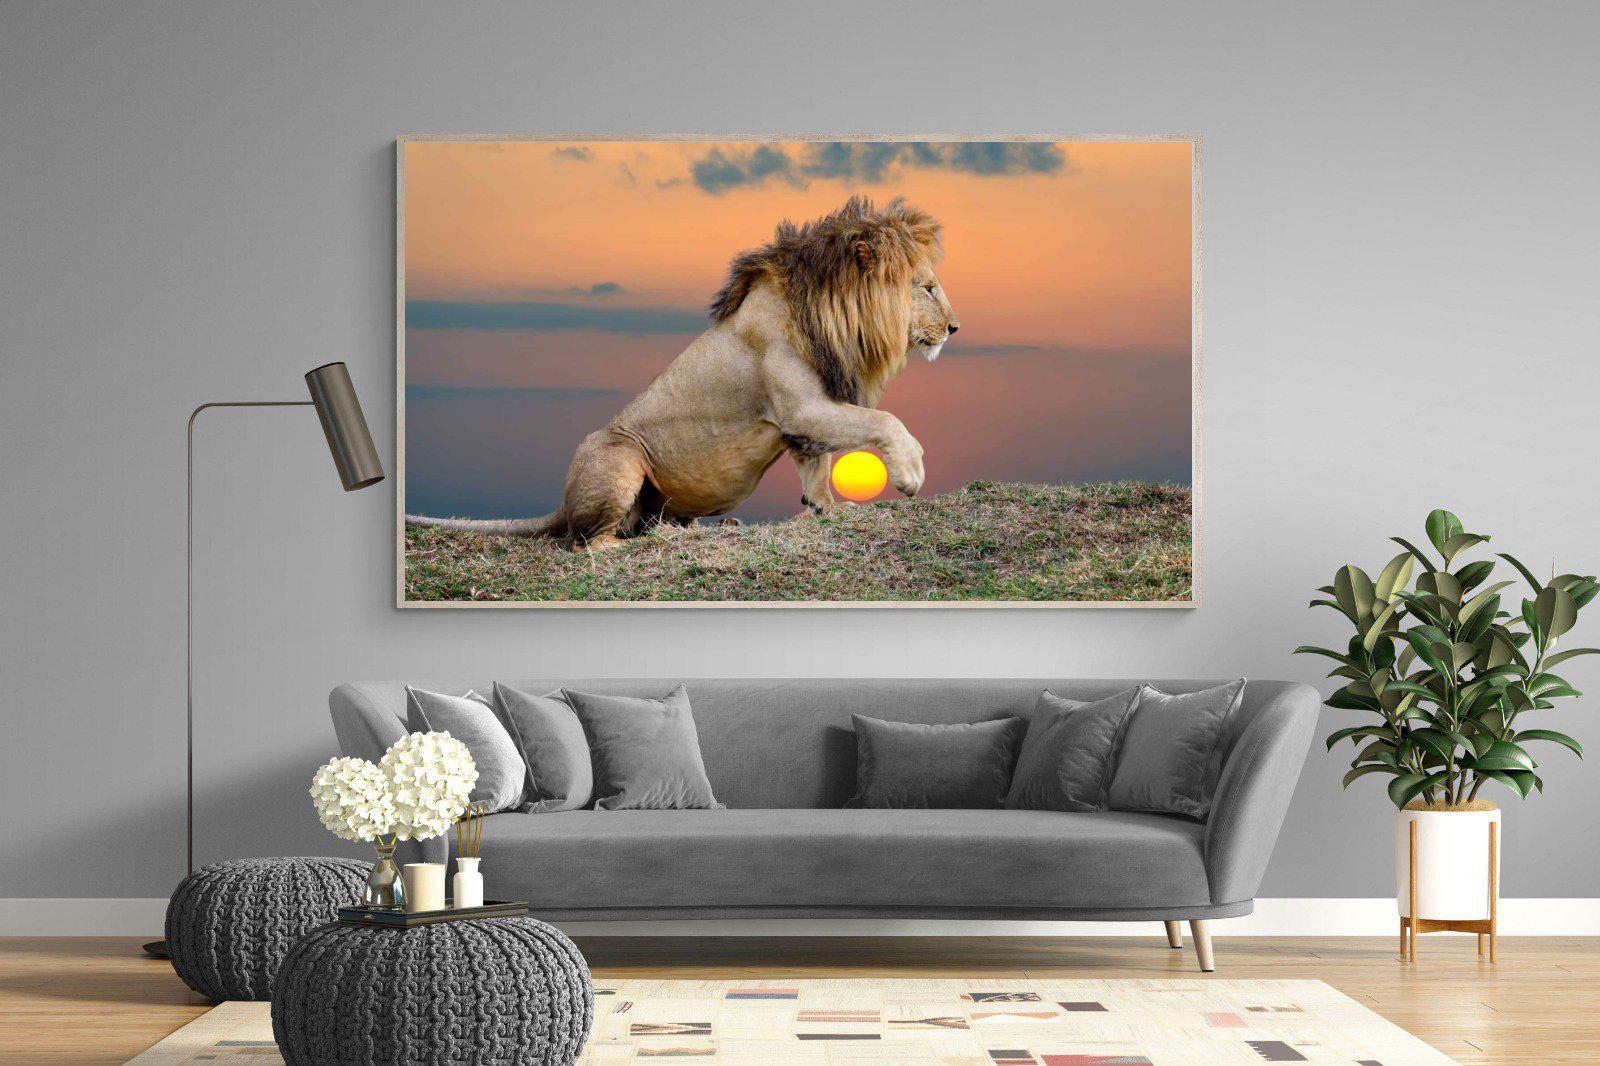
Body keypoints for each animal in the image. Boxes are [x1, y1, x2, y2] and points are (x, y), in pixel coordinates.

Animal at [405, 196, 959, 549]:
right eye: (928, 287)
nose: (955, 327)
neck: (833, 315)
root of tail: (562, 503)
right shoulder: (802, 406)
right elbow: (884, 422)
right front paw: (910, 473)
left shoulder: (805, 417)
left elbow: (816, 467)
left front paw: (829, 509)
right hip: (618, 452)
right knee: (589, 541)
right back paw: (647, 540)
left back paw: (697, 527)